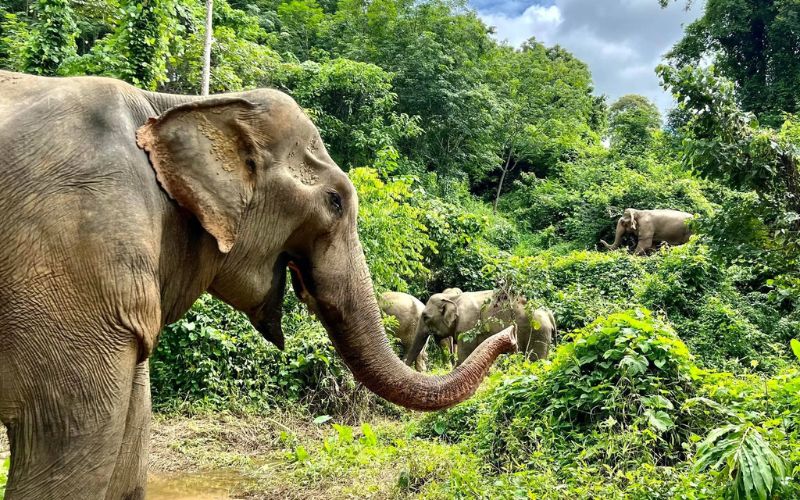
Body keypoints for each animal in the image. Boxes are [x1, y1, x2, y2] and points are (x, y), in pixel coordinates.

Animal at [405, 290, 552, 367]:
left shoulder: (467, 327)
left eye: (425, 317)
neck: (453, 298)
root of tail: (549, 314)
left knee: (535, 359)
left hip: (538, 332)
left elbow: (465, 356)